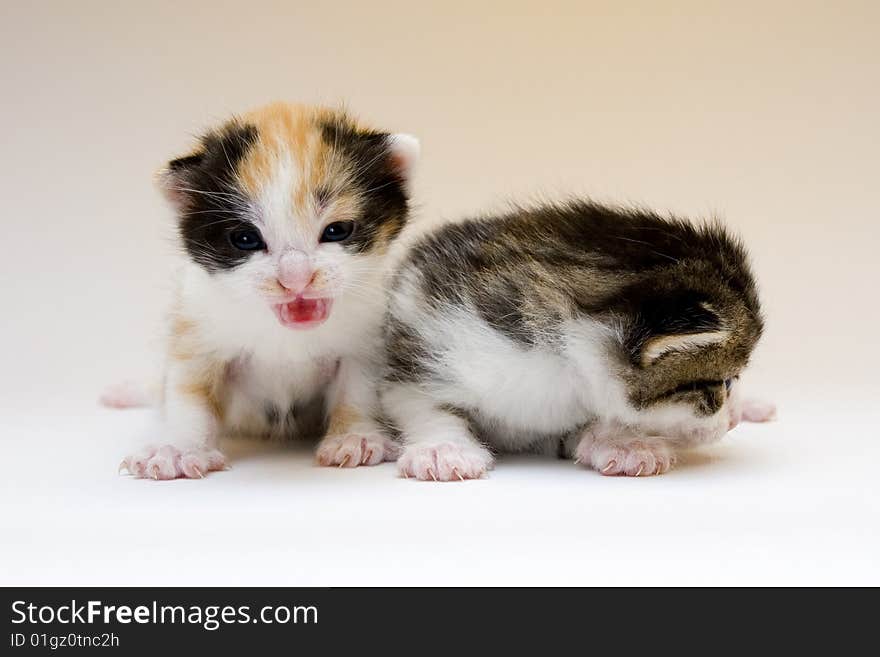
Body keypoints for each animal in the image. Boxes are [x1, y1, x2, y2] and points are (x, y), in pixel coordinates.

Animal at [114, 102, 420, 476]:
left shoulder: (366, 342)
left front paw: (356, 438)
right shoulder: (196, 329)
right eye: (246, 239)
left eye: (337, 230)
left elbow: (358, 393)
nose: (296, 279)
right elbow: (189, 396)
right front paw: (179, 449)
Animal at [384, 201, 776, 482]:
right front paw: (442, 450)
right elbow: (424, 405)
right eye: (724, 383)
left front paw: (621, 441)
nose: (733, 421)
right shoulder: (416, 334)